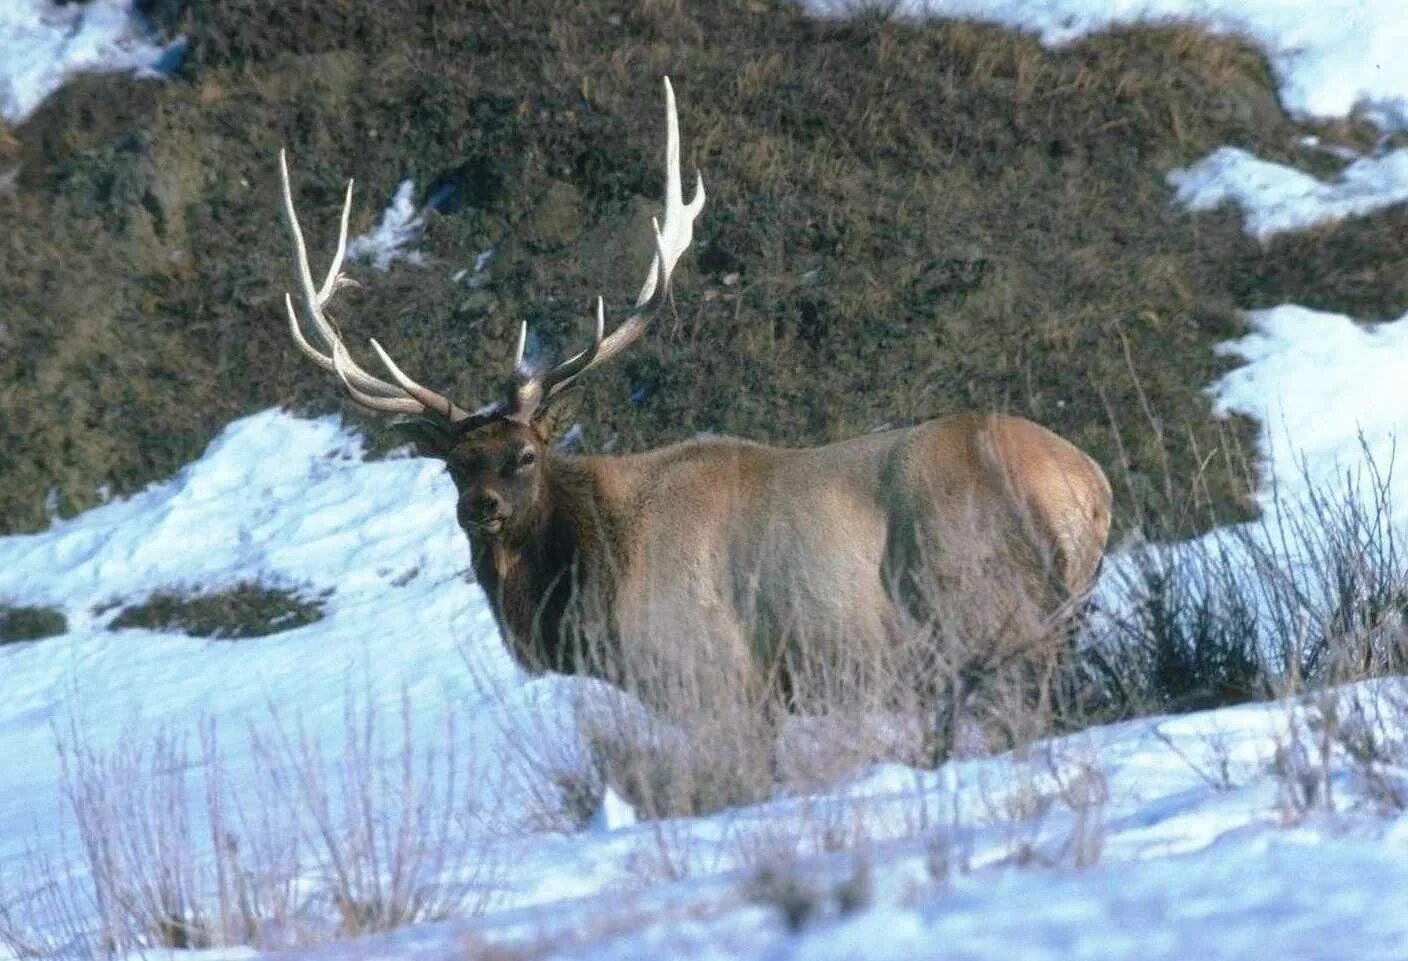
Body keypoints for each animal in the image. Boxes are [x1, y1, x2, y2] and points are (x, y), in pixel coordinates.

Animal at [274, 78, 1109, 748]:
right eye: (452, 465)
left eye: (526, 454)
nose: (479, 507)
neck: (594, 595)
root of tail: (1086, 490)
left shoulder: (714, 682)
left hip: (985, 614)